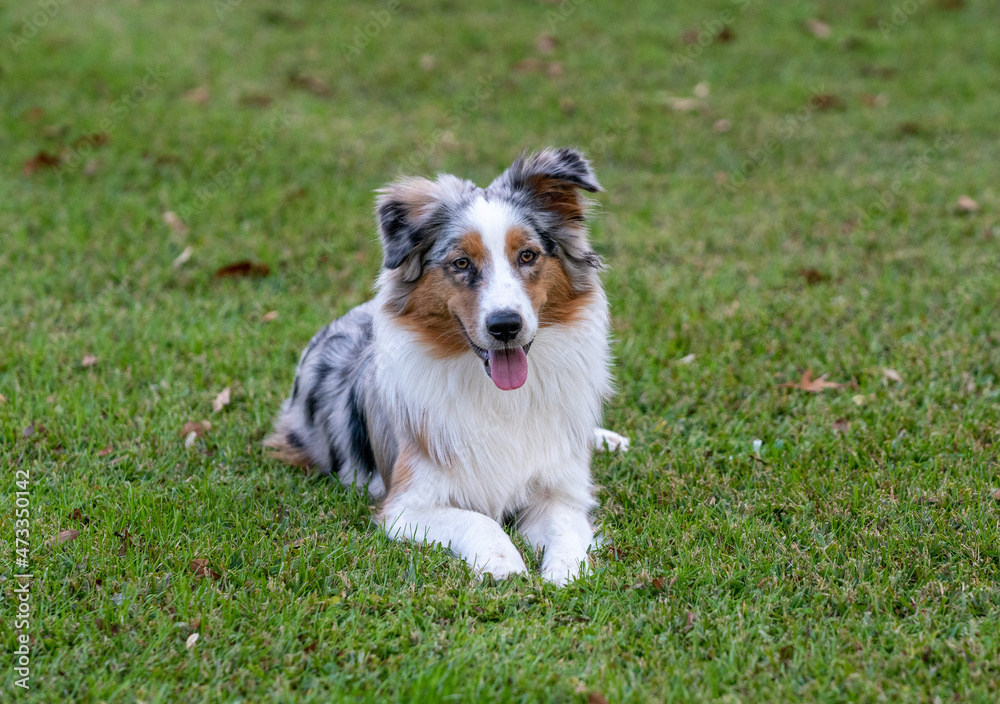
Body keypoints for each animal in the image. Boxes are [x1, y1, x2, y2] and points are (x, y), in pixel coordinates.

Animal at [266, 147, 624, 584]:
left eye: (527, 255)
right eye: (461, 263)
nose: (505, 326)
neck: (497, 394)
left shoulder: (557, 489)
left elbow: (566, 528)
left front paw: (567, 572)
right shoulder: (405, 506)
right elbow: (477, 520)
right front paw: (503, 564)